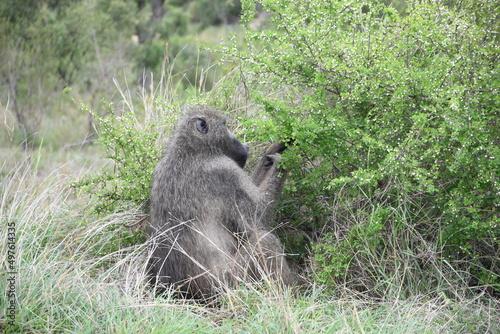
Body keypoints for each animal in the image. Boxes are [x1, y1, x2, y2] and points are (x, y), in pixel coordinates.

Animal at [148, 106, 294, 298]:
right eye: (225, 125)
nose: (244, 145)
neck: (190, 150)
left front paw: (272, 152)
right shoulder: (225, 170)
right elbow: (257, 220)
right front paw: (280, 162)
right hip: (233, 283)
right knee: (265, 241)